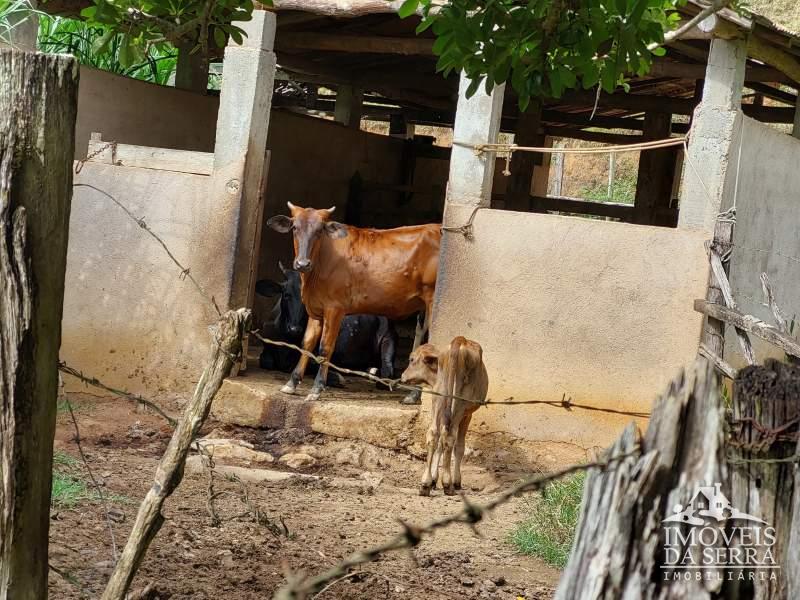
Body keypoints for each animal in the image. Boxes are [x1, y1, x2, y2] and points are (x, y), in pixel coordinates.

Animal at [256, 262, 396, 384]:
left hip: (388, 337)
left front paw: (336, 377)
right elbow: (266, 361)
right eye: (286, 294)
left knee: (388, 366)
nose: (294, 329)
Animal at [400, 336, 488, 494]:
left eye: (411, 359)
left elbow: (439, 442)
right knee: (450, 437)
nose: (402, 375)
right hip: (459, 404)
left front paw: (433, 479)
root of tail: (460, 340)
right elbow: (458, 447)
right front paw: (455, 481)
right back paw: (448, 483)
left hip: (439, 397)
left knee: (433, 434)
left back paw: (425, 483)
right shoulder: (467, 415)